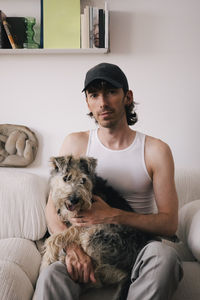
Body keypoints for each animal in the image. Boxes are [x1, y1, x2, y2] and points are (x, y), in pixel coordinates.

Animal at [42, 156, 156, 298]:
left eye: (83, 180)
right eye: (66, 178)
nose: (74, 199)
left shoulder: (87, 222)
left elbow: (57, 238)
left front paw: (47, 259)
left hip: (95, 237)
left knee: (100, 276)